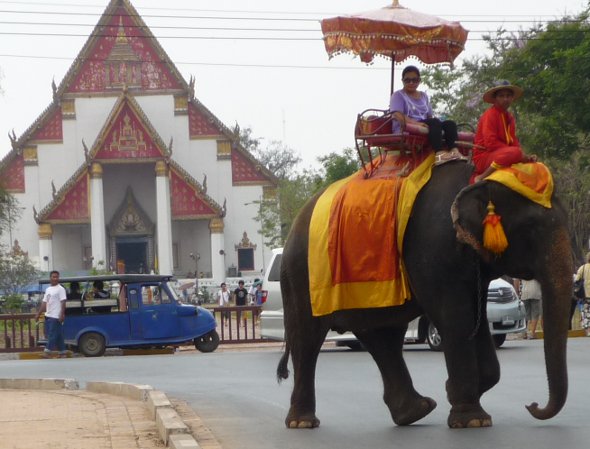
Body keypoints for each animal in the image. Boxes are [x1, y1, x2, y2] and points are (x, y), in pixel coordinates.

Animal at [278, 159, 572, 428]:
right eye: (531, 228)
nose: (532, 405)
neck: (477, 176)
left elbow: (475, 319)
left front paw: (455, 391)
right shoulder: (432, 250)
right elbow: (454, 317)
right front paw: (472, 419)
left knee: (381, 336)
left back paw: (416, 411)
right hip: (302, 274)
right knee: (308, 337)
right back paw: (302, 422)